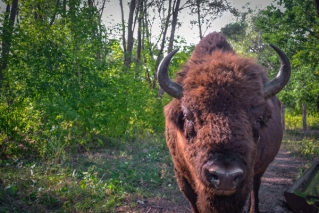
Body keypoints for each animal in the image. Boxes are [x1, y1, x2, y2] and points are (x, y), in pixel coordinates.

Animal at [158, 32, 292, 213]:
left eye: (258, 118)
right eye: (188, 116)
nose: (225, 176)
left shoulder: (243, 183)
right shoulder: (182, 176)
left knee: (255, 187)